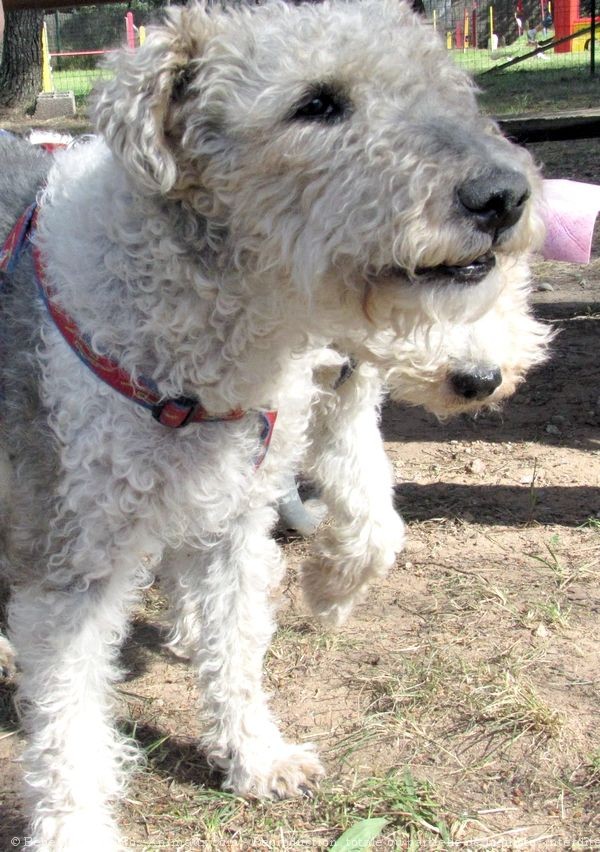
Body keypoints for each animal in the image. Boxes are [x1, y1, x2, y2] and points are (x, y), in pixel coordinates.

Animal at [0, 3, 548, 848]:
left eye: (440, 84)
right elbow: (69, 723)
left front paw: (257, 758)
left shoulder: (232, 516)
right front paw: (76, 830)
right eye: (316, 104)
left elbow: (236, 649)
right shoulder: (75, 560)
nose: (504, 195)